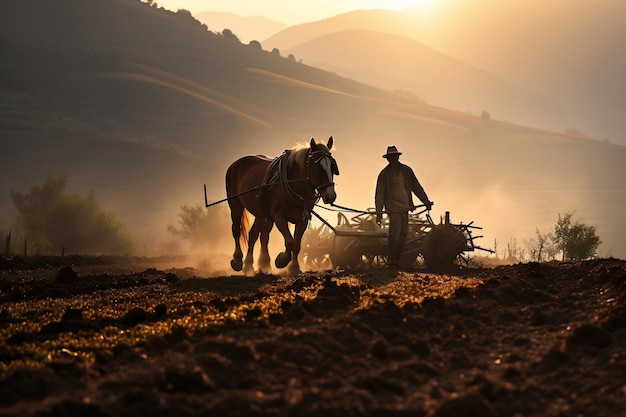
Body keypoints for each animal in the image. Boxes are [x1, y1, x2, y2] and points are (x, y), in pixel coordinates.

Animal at [227, 135, 338, 274]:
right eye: (317, 167)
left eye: (332, 167)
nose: (331, 196)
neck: (294, 184)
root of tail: (235, 164)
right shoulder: (278, 216)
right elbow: (290, 241)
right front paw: (281, 260)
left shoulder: (303, 220)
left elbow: (297, 244)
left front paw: (294, 267)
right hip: (235, 205)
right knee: (236, 230)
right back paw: (238, 260)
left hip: (261, 213)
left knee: (255, 235)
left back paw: (252, 265)